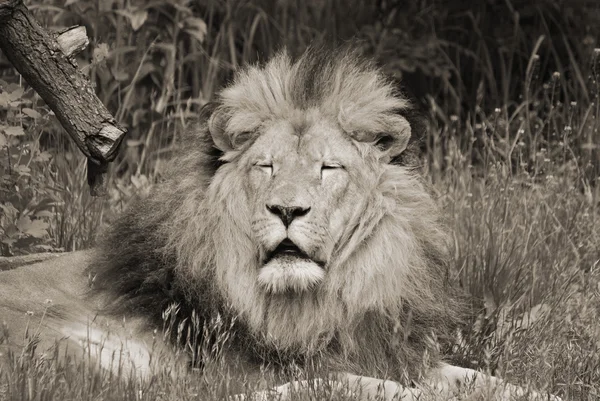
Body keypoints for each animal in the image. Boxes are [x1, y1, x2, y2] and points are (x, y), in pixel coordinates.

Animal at [0, 45, 560, 398]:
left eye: (328, 168)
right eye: (265, 167)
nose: (287, 210)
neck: (318, 301)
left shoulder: (388, 349)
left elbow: (482, 379)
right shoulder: (241, 369)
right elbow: (353, 383)